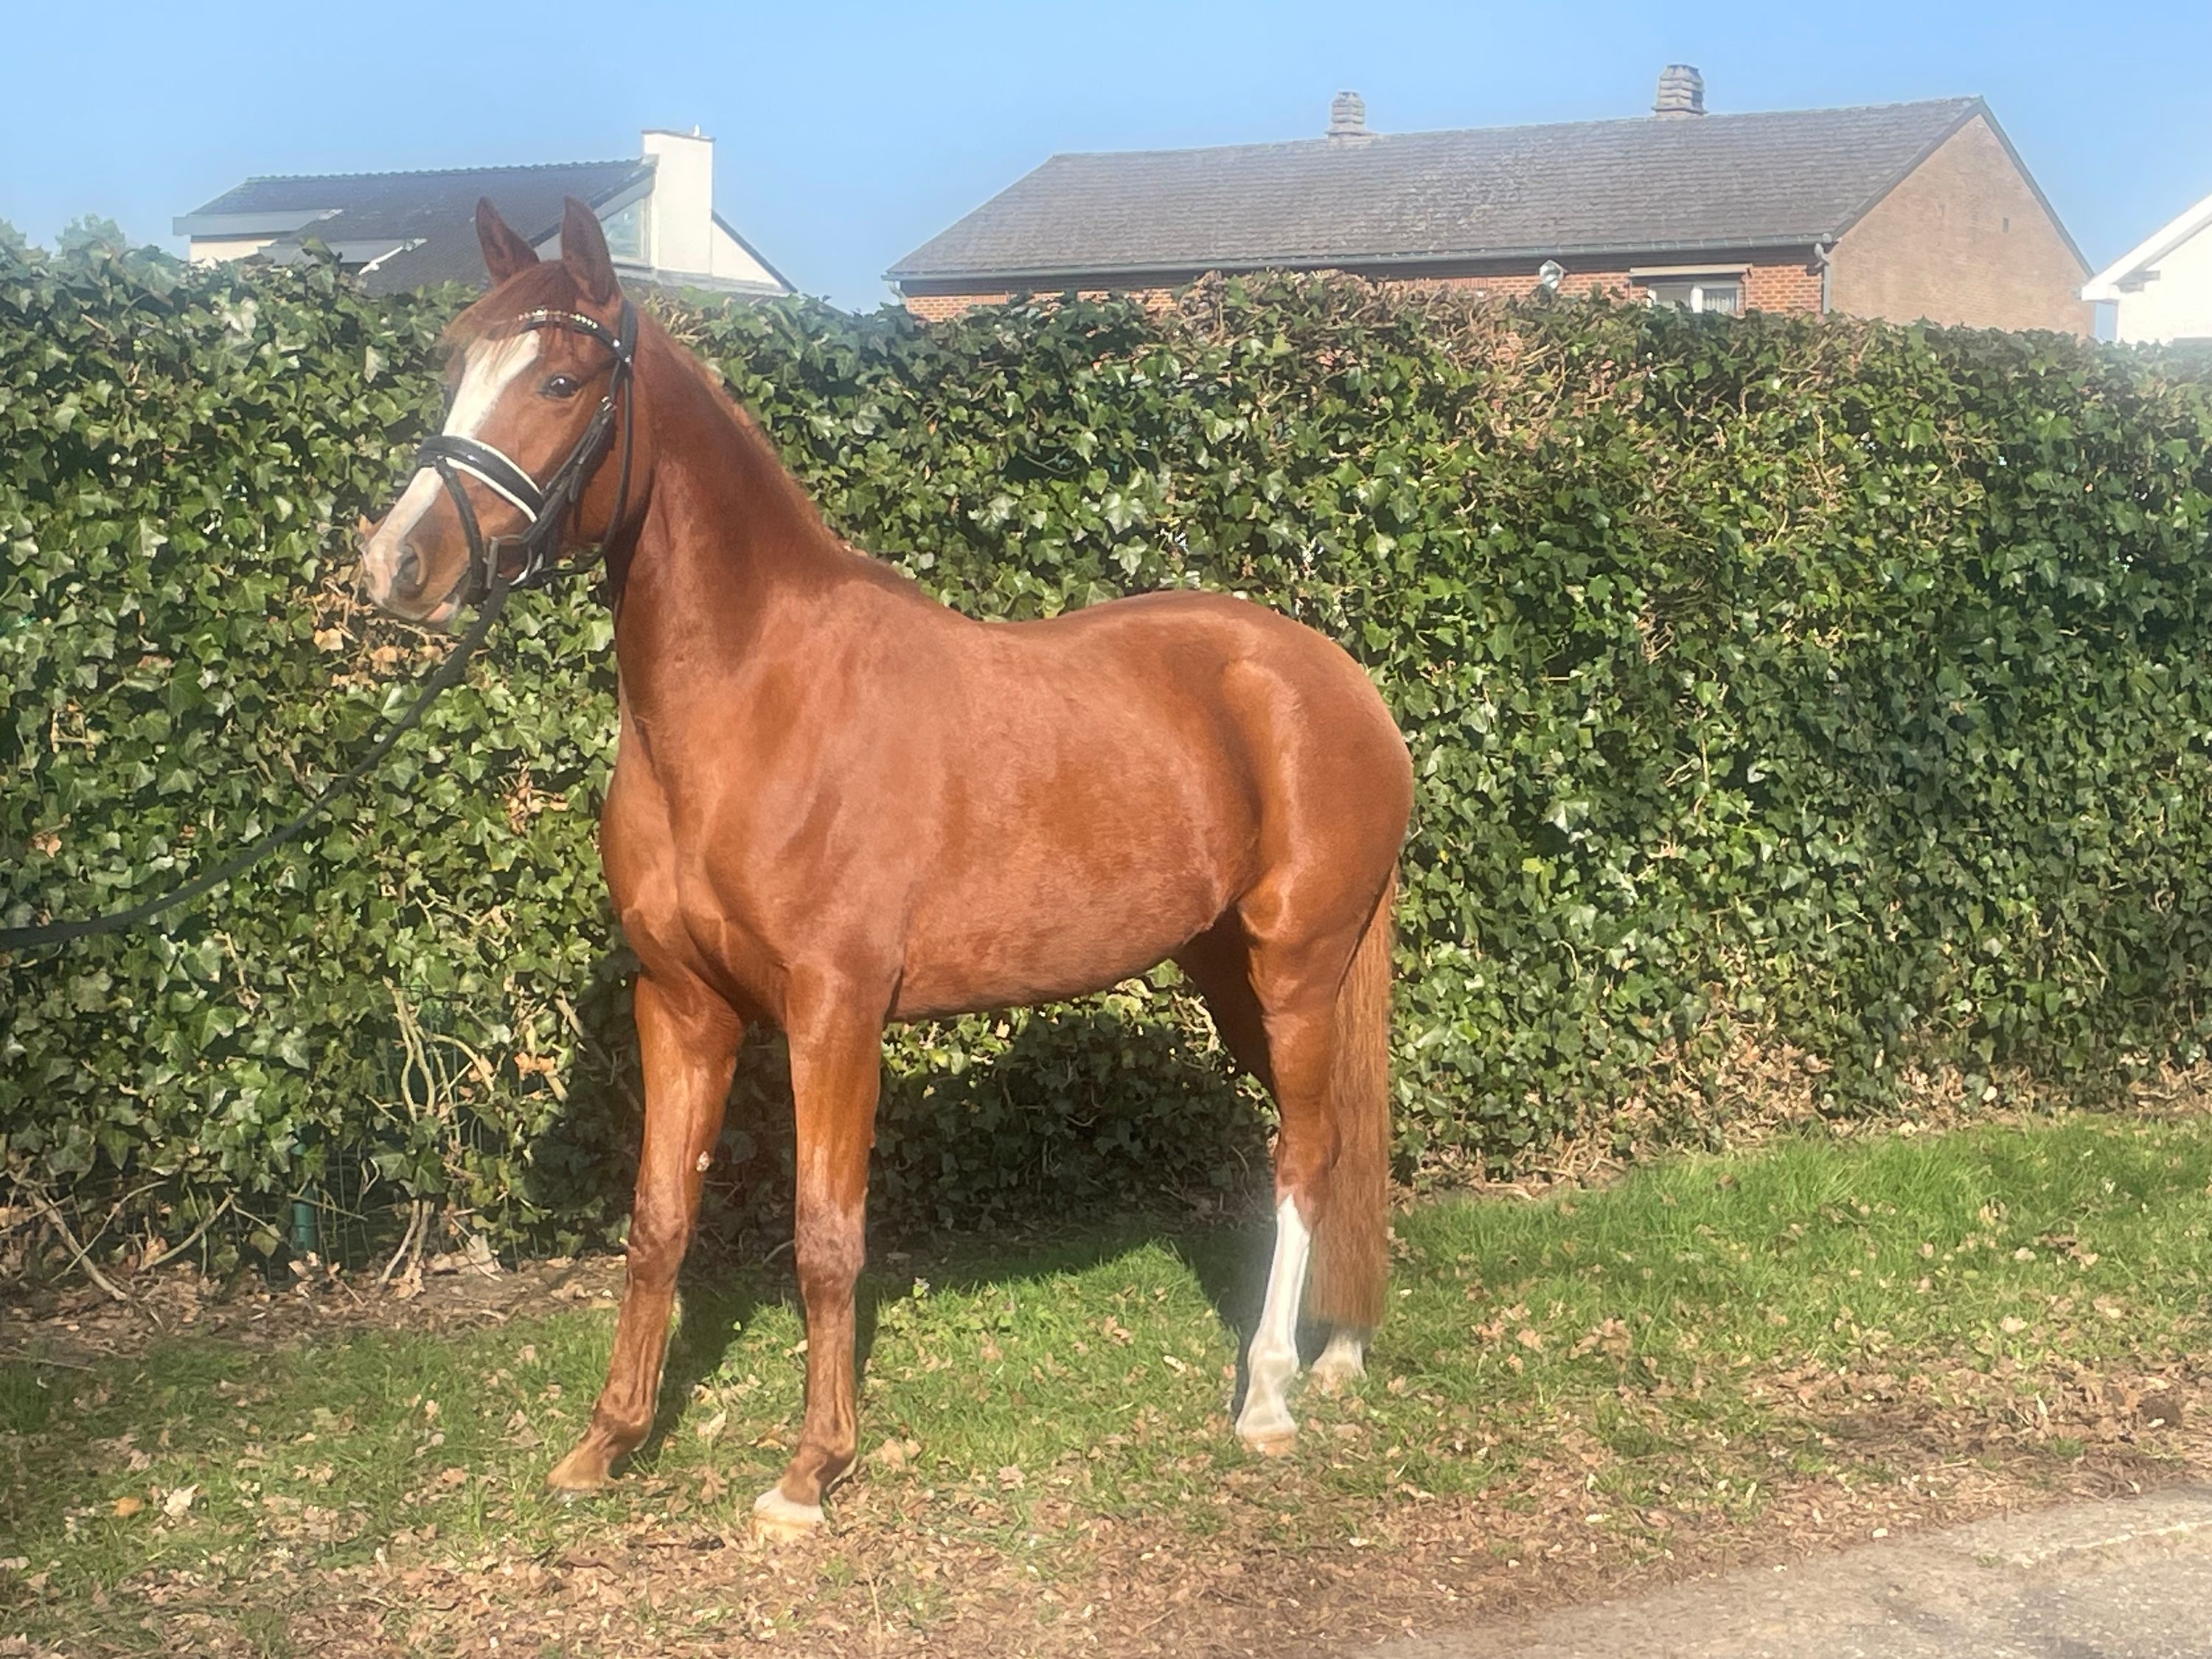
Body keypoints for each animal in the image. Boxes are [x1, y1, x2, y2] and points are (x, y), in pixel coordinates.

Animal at [357, 197, 1414, 1538]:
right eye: (453, 361)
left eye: (558, 378)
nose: (396, 565)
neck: (756, 699)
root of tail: (1334, 678)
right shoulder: (683, 1007)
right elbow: (657, 1225)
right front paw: (607, 1442)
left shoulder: (834, 1012)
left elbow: (826, 1238)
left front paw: (810, 1470)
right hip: (1231, 973)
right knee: (1324, 1140)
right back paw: (1338, 1350)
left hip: (1296, 966)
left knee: (1305, 1156)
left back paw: (1270, 1394)